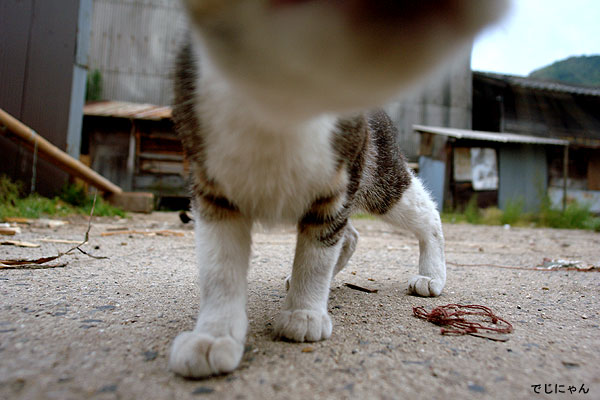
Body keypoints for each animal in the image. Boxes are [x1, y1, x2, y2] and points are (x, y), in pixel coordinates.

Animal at [169, 0, 507, 378]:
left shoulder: (335, 191)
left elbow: (315, 258)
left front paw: (304, 313)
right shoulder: (213, 191)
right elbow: (220, 269)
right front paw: (214, 336)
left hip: (378, 176)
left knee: (426, 215)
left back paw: (430, 274)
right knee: (352, 236)